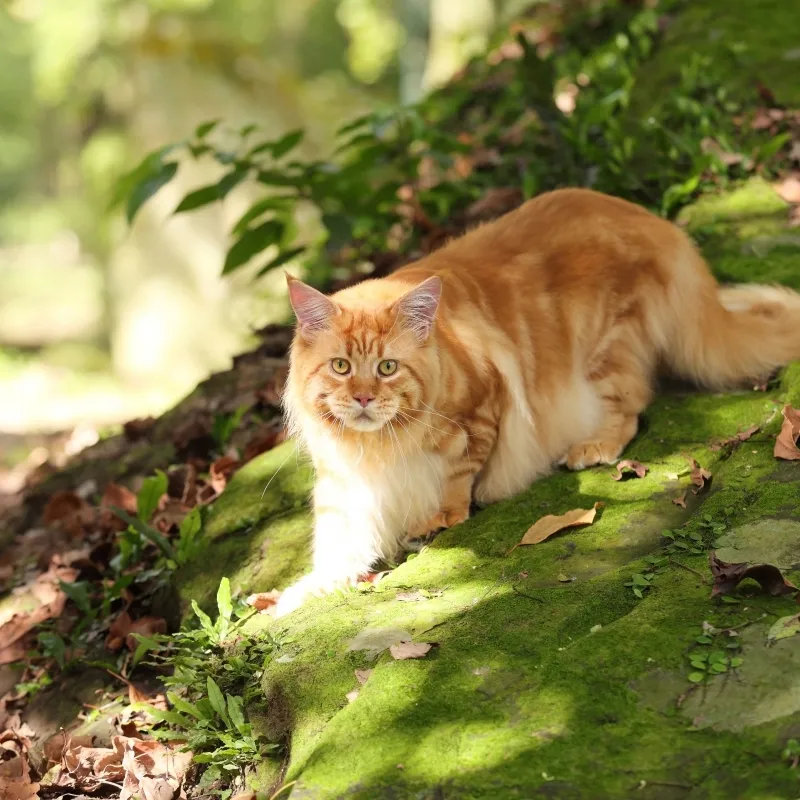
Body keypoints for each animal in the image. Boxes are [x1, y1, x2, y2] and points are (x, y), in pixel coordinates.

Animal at [274, 188, 800, 612]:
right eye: (341, 367)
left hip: (605, 351)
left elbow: (457, 476)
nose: (363, 398)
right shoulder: (343, 483)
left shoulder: (482, 410)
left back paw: (593, 447)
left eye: (387, 368)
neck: (378, 445)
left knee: (631, 408)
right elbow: (337, 547)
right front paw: (302, 593)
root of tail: (659, 225)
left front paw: (442, 517)